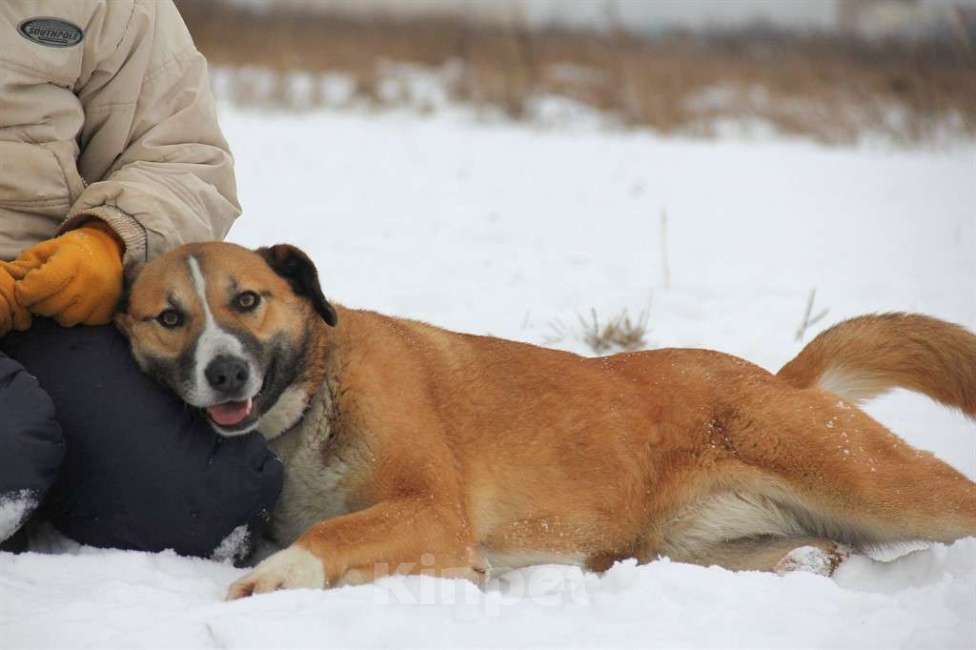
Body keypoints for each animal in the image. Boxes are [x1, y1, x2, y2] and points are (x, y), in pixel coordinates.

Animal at [118, 242, 976, 596]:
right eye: (169, 317)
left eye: (247, 300)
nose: (225, 371)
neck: (310, 405)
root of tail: (780, 377)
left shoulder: (433, 513)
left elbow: (326, 537)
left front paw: (274, 579)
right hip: (695, 549)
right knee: (820, 553)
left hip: (871, 481)